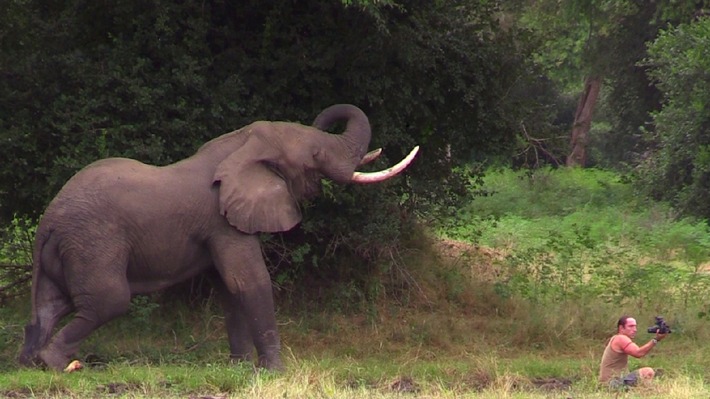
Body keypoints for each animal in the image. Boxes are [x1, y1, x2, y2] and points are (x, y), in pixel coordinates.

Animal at [16, 103, 420, 372]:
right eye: (316, 155)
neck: (242, 145)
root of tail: (47, 220)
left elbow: (229, 288)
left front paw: (238, 367)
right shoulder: (223, 222)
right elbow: (249, 280)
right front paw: (275, 372)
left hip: (67, 251)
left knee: (49, 307)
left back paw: (28, 363)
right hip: (93, 244)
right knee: (108, 301)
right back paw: (57, 363)